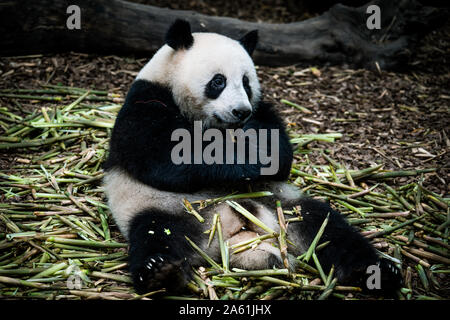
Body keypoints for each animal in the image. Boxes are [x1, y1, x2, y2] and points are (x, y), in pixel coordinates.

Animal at [103, 19, 402, 296]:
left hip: (285, 208)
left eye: (246, 83)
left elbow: (279, 148)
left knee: (329, 229)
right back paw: (161, 272)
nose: (240, 112)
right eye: (218, 81)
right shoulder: (146, 101)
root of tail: (232, 231)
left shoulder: (261, 109)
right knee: (154, 235)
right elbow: (161, 156)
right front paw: (243, 165)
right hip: (169, 210)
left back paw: (377, 271)